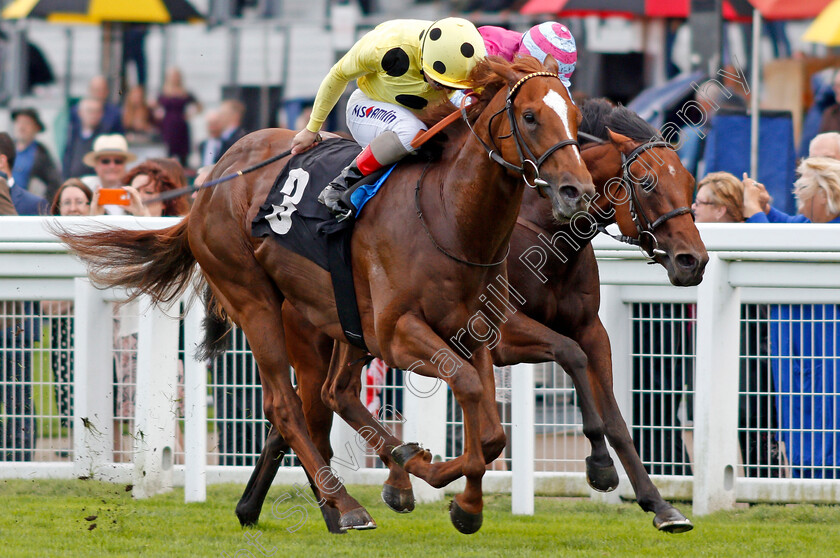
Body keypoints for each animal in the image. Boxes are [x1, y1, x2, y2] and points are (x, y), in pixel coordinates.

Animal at [55, 54, 592, 536]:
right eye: (530, 116)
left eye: (576, 117)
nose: (576, 191)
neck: (448, 214)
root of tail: (211, 180)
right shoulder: (396, 332)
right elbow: (471, 392)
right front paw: (455, 492)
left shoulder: (474, 330)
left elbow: (492, 431)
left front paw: (462, 501)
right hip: (256, 300)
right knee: (286, 404)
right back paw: (348, 505)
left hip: (336, 317)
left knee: (335, 393)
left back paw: (372, 482)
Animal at [233, 98, 704, 536]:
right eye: (647, 183)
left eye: (690, 182)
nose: (693, 261)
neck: (541, 226)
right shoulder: (506, 334)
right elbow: (568, 354)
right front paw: (599, 464)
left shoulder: (590, 328)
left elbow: (614, 414)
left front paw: (660, 505)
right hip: (311, 338)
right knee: (306, 411)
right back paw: (335, 505)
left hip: (356, 334)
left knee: (324, 402)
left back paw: (281, 503)